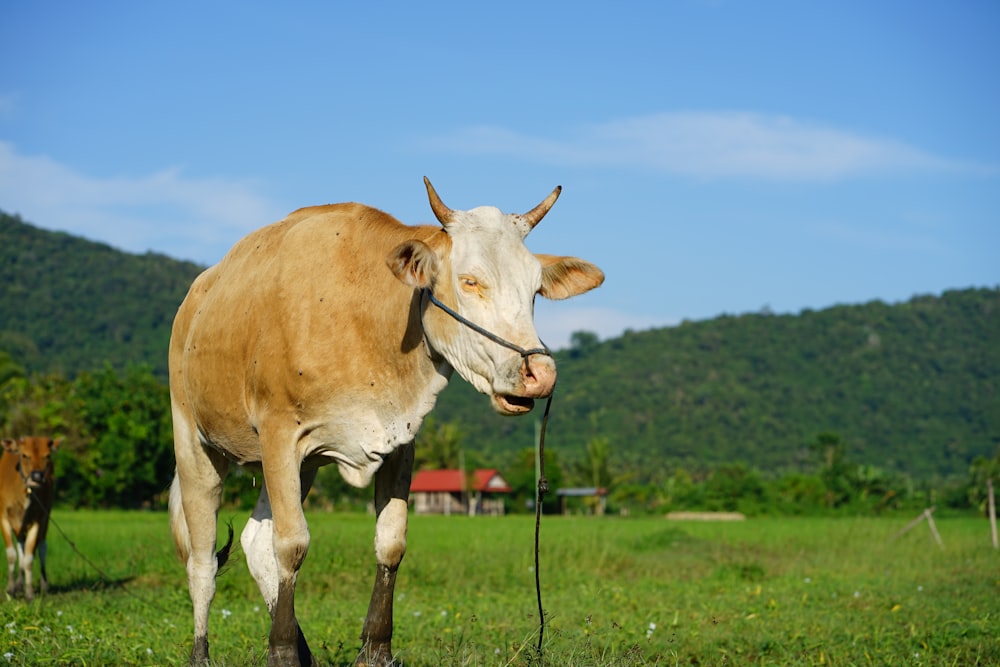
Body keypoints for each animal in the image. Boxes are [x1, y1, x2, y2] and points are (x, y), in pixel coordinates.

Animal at [0, 436, 59, 604]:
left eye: (47, 456)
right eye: (25, 455)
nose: (37, 476)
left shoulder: (37, 519)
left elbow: (29, 558)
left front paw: (29, 593)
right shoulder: (4, 517)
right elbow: (12, 554)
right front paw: (11, 589)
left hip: (46, 516)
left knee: (42, 547)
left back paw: (44, 585)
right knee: (20, 545)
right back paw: (18, 584)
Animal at [169, 177, 604, 667]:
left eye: (534, 291)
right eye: (470, 280)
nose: (539, 373)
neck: (366, 319)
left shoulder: (400, 441)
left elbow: (390, 542)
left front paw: (375, 648)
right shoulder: (279, 433)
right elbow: (292, 545)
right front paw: (279, 652)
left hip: (299, 467)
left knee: (254, 543)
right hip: (195, 444)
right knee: (203, 560)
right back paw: (204, 652)